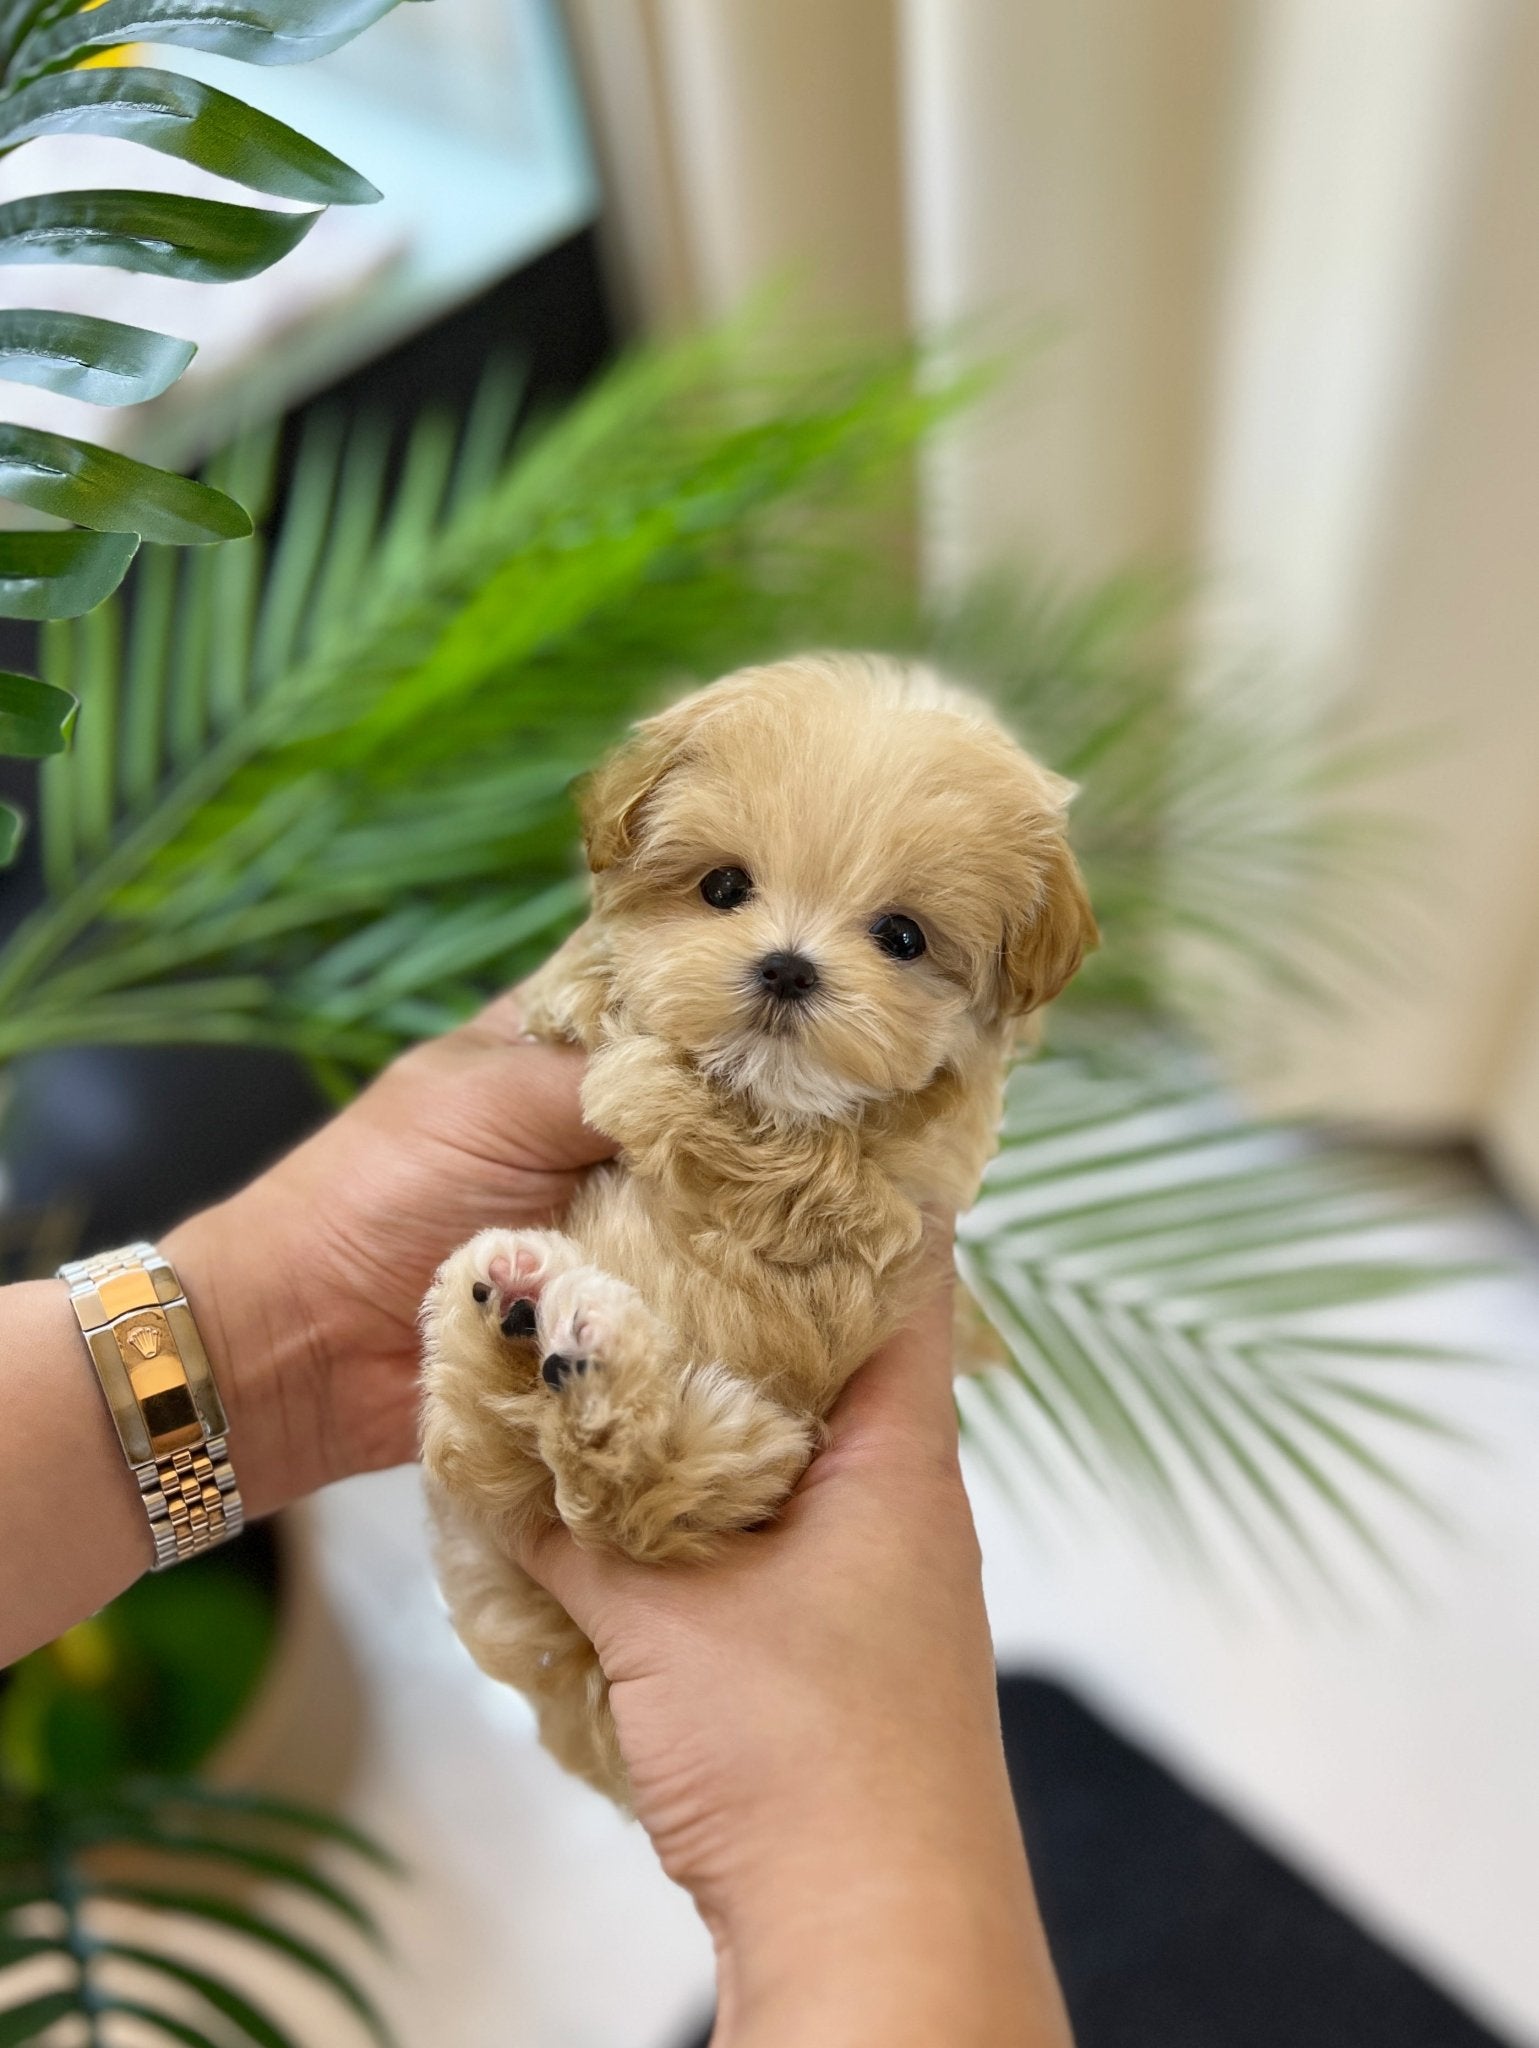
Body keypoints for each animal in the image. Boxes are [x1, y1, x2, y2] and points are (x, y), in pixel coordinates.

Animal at [422, 647, 1098, 1802]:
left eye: (903, 936)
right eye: (723, 887)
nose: (786, 965)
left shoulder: (885, 1212)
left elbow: (791, 1163)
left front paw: (650, 1082)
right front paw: (592, 997)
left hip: (743, 1452)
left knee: (625, 1491)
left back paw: (563, 1344)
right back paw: (514, 1311)